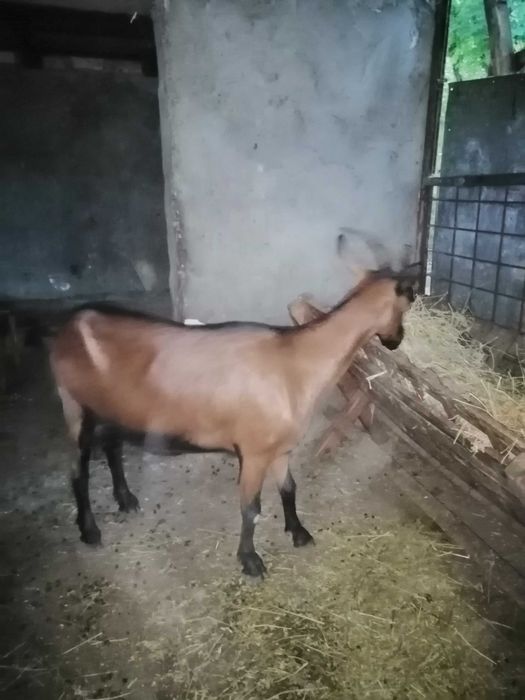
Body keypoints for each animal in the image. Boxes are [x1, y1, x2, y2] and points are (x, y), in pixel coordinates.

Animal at [49, 265, 416, 578]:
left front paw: (298, 532)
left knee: (112, 447)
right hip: (74, 405)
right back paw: (90, 530)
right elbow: (251, 509)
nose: (396, 340)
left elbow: (289, 488)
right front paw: (251, 561)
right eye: (407, 303)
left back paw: (126, 499)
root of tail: (68, 326)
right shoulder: (253, 452)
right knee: (78, 471)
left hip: (112, 408)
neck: (296, 365)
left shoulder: (280, 449)